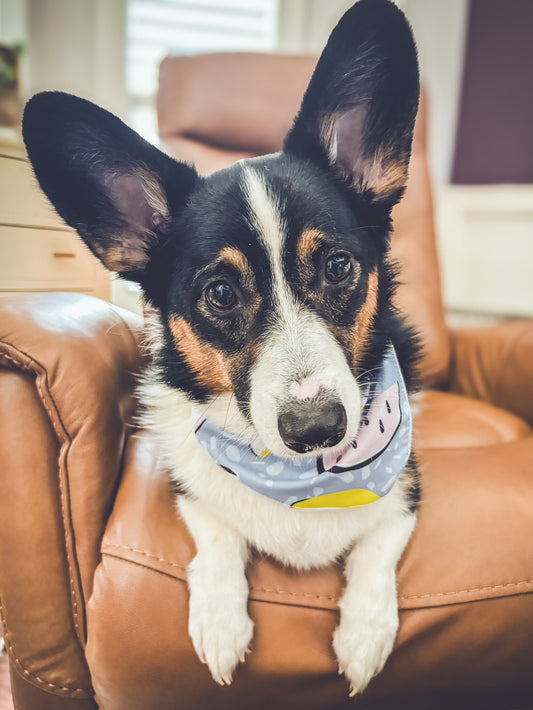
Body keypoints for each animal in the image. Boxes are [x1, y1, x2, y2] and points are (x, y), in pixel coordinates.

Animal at [21, 0, 420, 700]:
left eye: (339, 266)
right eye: (222, 293)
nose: (317, 431)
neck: (301, 480)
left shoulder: (408, 493)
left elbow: (378, 542)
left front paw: (365, 634)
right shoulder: (191, 490)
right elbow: (215, 530)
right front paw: (218, 622)